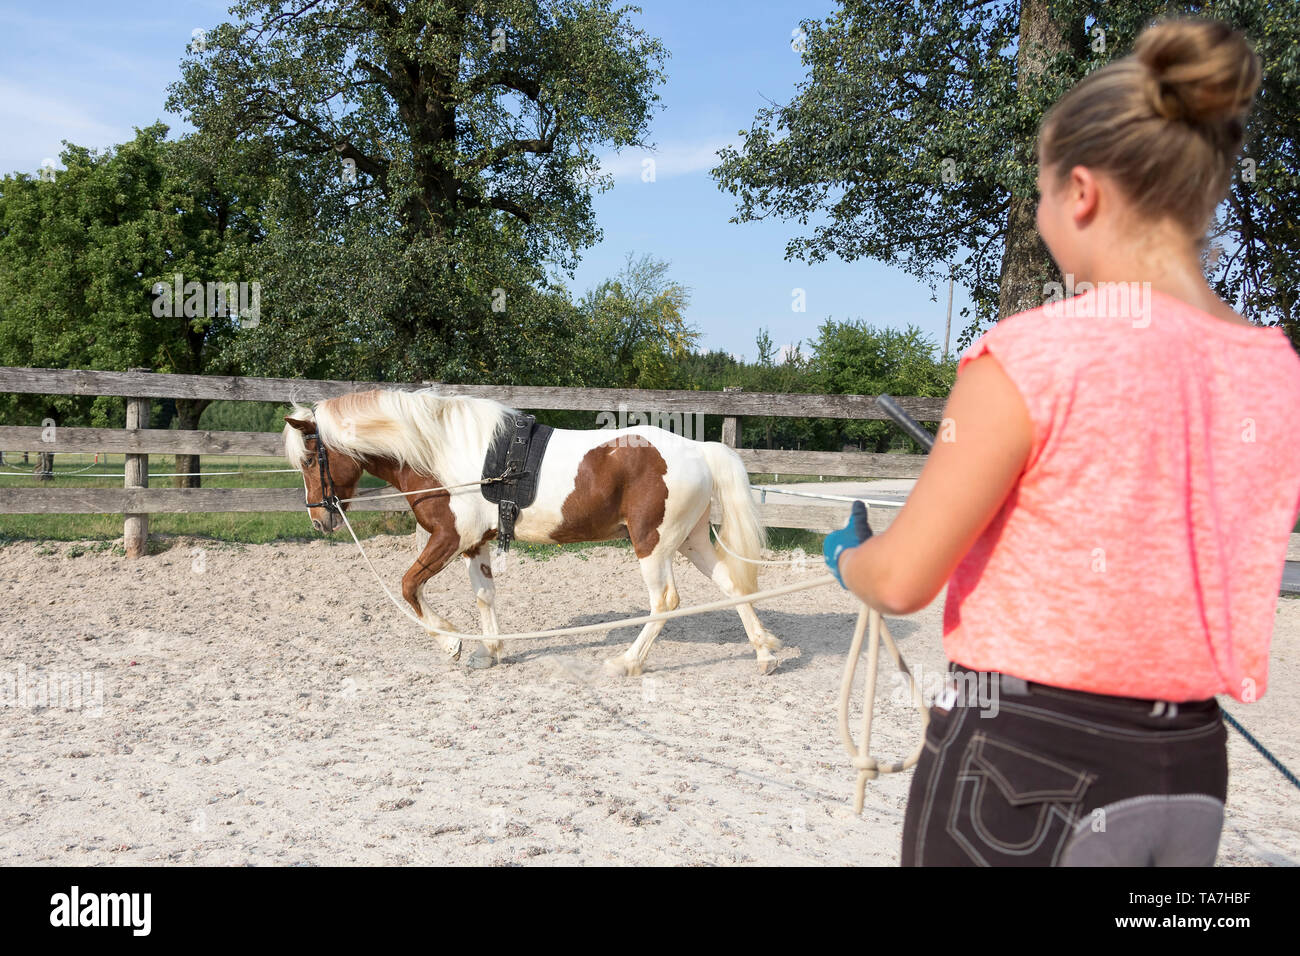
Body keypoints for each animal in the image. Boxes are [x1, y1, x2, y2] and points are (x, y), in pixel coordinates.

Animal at [282, 388, 785, 674]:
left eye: (309, 459)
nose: (319, 520)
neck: (442, 452)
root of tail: (700, 450)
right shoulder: (475, 545)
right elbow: (484, 595)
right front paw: (490, 652)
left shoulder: (449, 538)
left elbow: (408, 586)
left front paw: (452, 643)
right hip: (691, 540)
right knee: (731, 586)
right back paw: (763, 655)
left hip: (653, 545)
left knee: (665, 602)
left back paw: (626, 663)